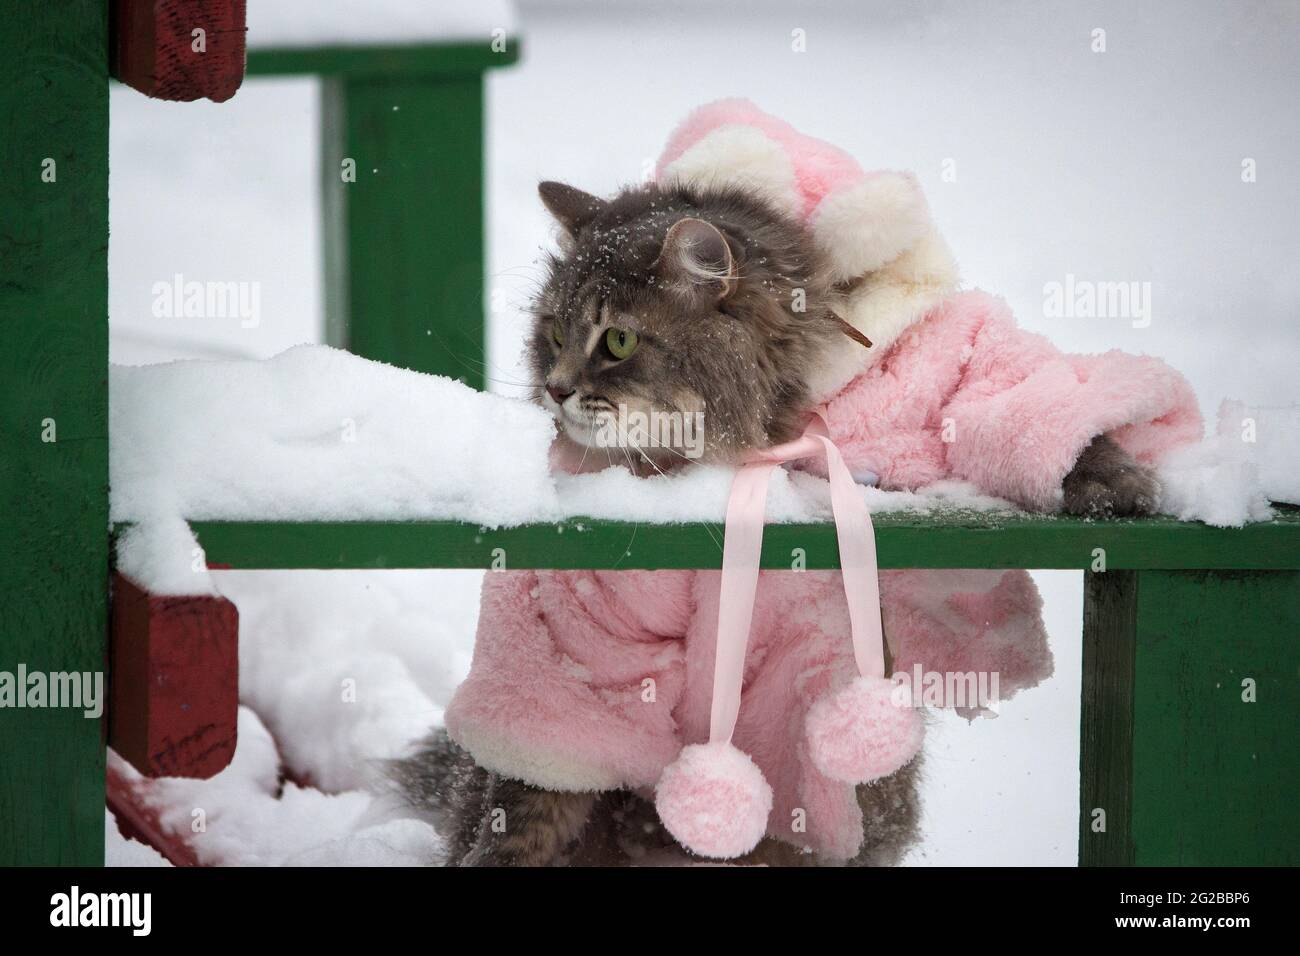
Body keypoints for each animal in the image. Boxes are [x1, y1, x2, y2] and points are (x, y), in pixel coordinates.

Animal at [390, 174, 1164, 868]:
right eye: (553, 331)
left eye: (617, 343)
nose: (554, 389)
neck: (756, 429)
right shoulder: (585, 629)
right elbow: (528, 805)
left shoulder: (938, 369)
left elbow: (1020, 397)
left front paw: (1115, 482)